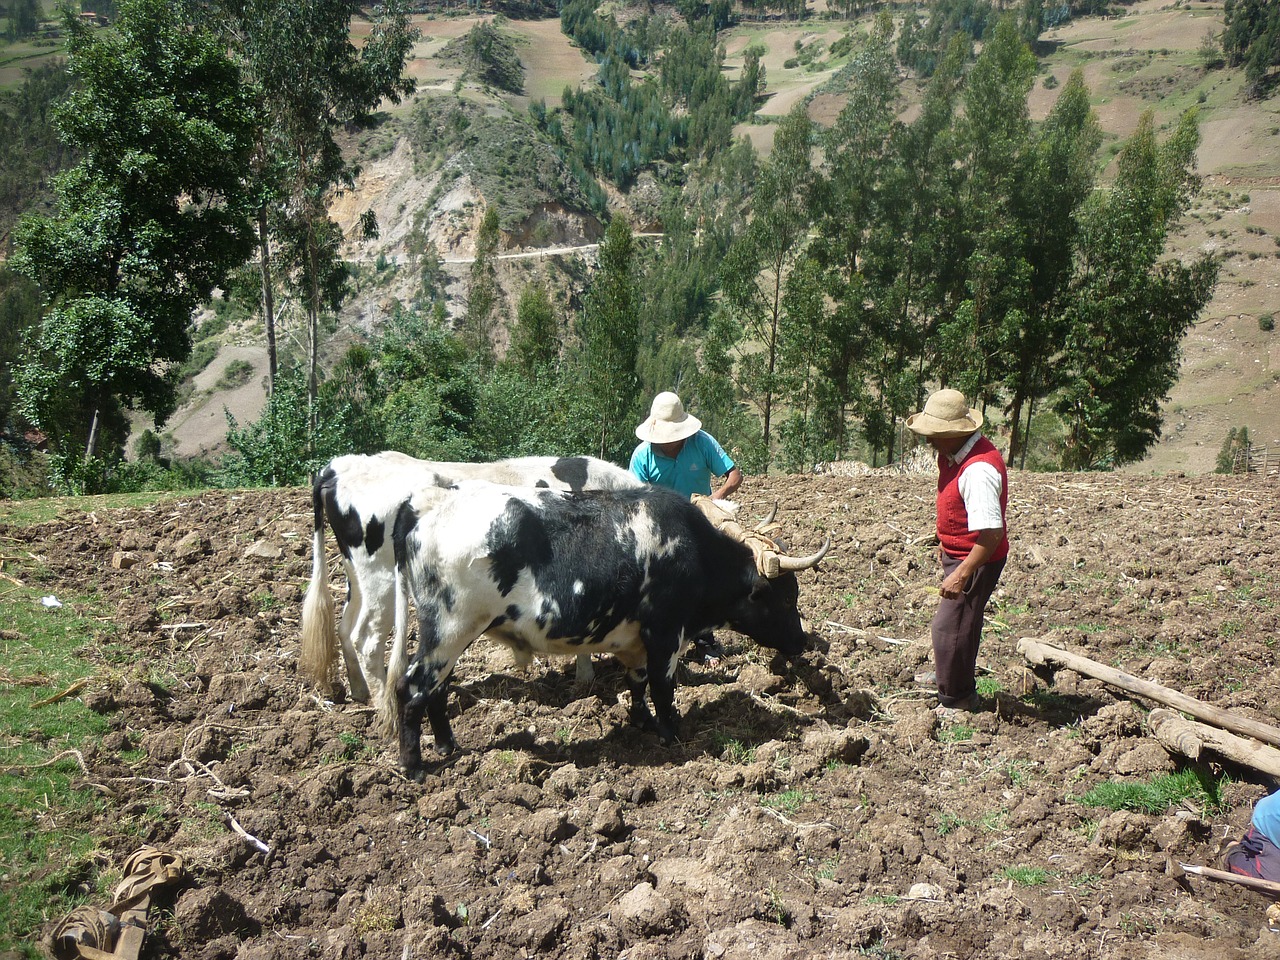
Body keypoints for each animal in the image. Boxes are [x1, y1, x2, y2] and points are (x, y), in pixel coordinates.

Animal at [296, 450, 640, 727]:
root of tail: (339, 467)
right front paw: (585, 680)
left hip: (356, 575)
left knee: (345, 627)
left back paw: (359, 693)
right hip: (382, 581)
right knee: (367, 641)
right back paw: (386, 707)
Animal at [391, 481, 829, 783]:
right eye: (785, 598)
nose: (801, 641)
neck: (692, 552)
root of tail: (425, 506)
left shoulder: (635, 642)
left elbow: (636, 683)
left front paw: (642, 722)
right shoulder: (666, 633)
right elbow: (662, 687)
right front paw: (671, 733)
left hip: (450, 637)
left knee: (437, 690)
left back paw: (447, 745)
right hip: (449, 631)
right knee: (411, 688)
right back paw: (415, 768)